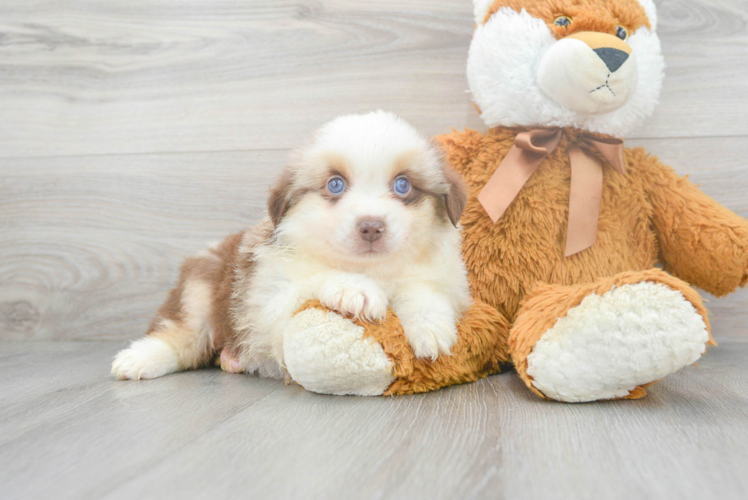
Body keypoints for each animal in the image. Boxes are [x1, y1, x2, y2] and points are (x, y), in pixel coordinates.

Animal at [112, 111, 468, 380]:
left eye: (403, 185)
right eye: (335, 185)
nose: (371, 226)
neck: (370, 269)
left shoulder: (441, 278)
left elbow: (422, 291)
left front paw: (432, 330)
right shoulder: (268, 299)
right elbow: (314, 276)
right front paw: (355, 290)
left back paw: (232, 360)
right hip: (199, 290)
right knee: (180, 336)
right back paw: (137, 360)